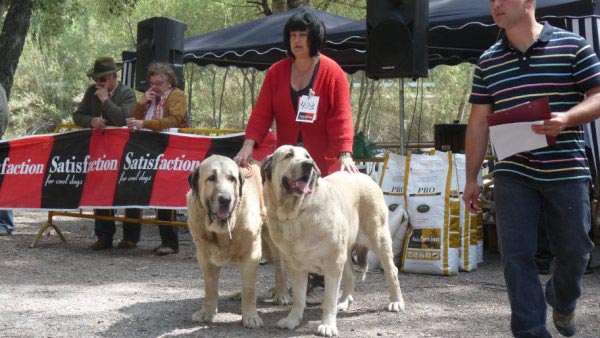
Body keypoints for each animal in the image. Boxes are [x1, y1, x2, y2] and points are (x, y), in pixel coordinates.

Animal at [189, 155, 290, 328]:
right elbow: (210, 287)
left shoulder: (251, 253)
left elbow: (250, 288)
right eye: (211, 178)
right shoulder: (204, 257)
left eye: (232, 179)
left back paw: (281, 293)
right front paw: (207, 312)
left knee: (279, 266)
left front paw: (250, 317)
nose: (225, 199)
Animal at [262, 145, 404, 336]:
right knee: (351, 275)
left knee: (392, 271)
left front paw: (327, 325)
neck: (297, 212)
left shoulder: (332, 264)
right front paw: (292, 319)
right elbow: (299, 298)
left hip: (378, 239)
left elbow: (328, 299)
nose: (308, 165)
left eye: (307, 157)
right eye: (289, 155)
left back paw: (396, 302)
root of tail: (365, 176)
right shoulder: (296, 266)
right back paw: (343, 302)